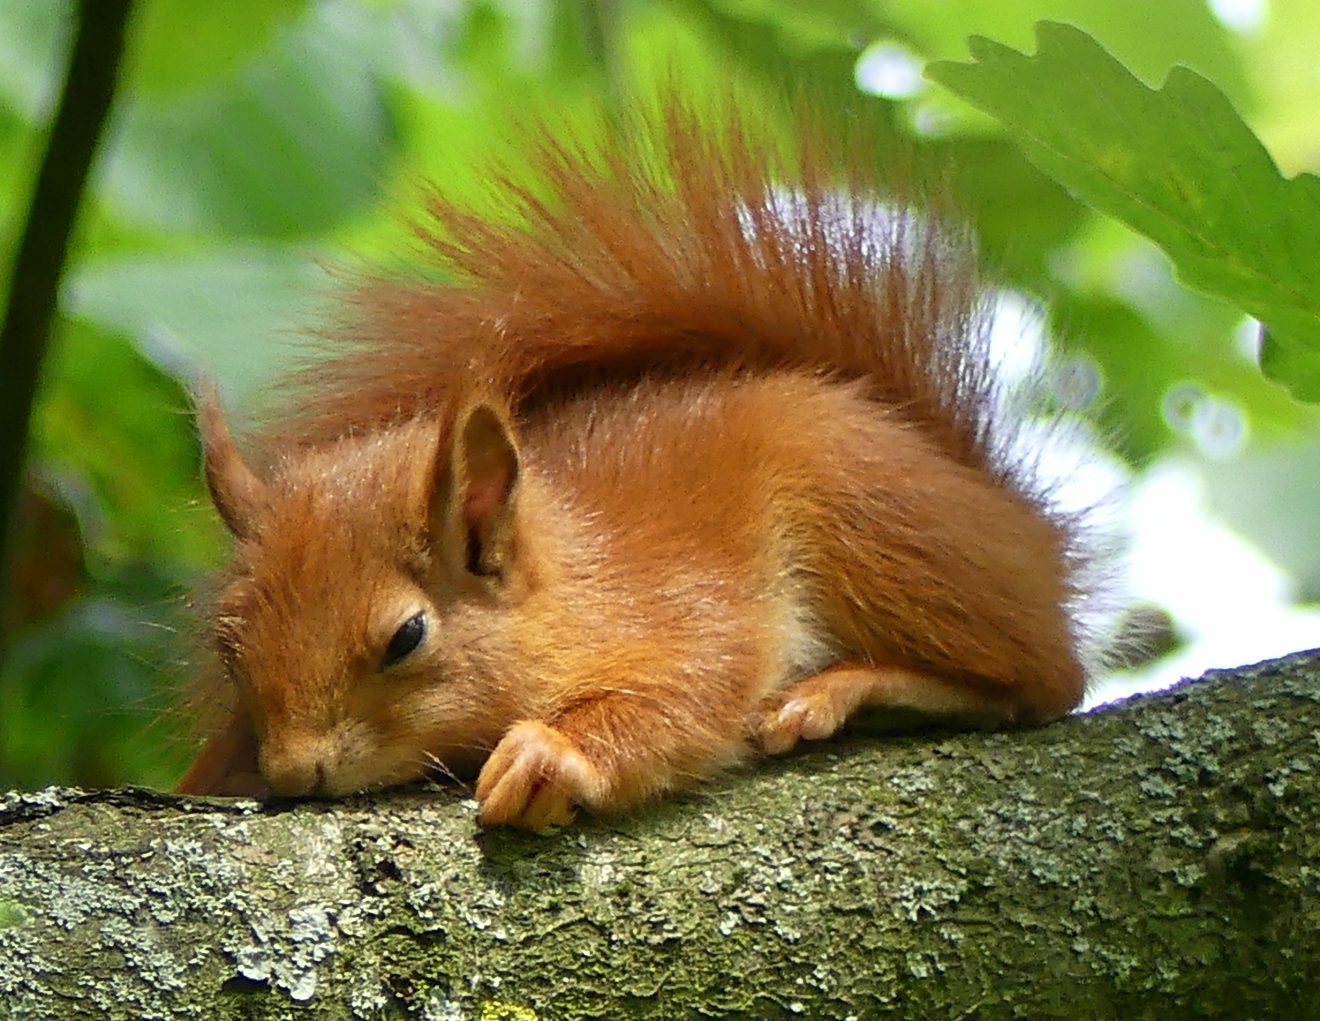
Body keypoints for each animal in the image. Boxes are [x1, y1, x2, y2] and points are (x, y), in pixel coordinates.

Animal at [174, 105, 1093, 829]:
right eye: (229, 644)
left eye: (406, 637)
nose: (296, 771)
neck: (573, 580)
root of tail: (1010, 515)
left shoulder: (683, 602)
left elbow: (694, 683)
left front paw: (552, 753)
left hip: (885, 531)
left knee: (1047, 678)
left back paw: (851, 689)